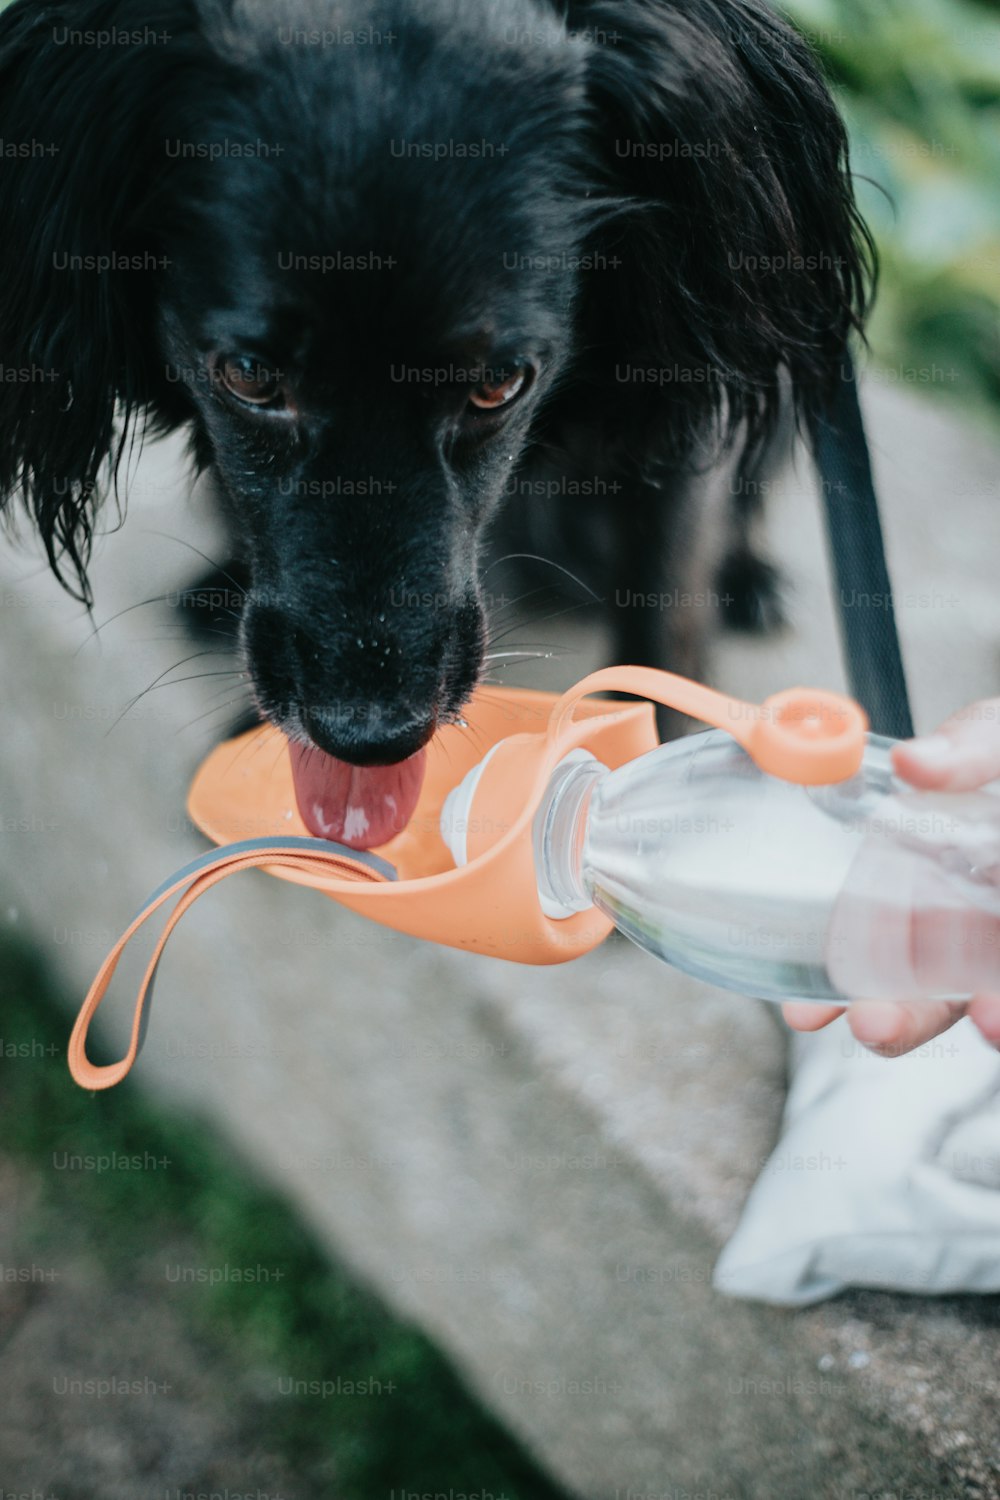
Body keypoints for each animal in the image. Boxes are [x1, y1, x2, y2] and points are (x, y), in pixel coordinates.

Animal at [0, 0, 869, 846]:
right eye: (248, 376)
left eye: (500, 383)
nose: (369, 737)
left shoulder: (682, 431)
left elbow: (666, 609)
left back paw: (753, 582)